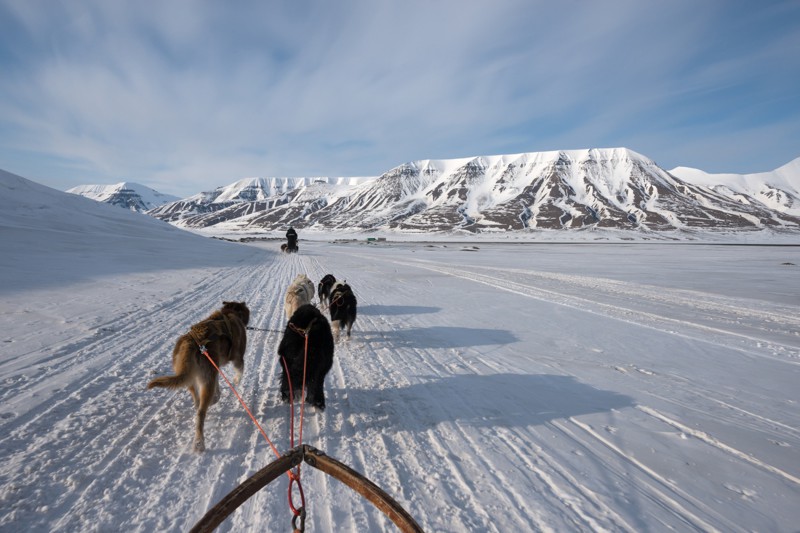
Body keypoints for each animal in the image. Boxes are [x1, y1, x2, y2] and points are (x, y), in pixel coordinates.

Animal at [147, 302, 250, 450]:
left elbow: (218, 389)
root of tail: (191, 342)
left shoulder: (214, 369)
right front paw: (236, 380)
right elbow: (240, 370)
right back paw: (199, 442)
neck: (230, 313)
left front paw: (216, 397)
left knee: (196, 400)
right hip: (206, 380)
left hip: (193, 378)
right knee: (201, 413)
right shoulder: (237, 358)